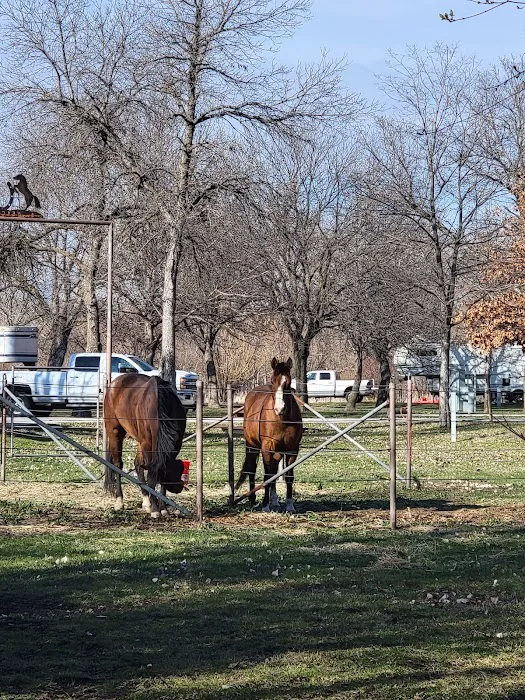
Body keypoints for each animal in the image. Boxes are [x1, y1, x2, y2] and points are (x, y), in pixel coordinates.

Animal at [104, 373, 187, 518]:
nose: (179, 486)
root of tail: (114, 383)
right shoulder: (148, 444)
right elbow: (152, 476)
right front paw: (155, 509)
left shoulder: (174, 444)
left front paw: (162, 508)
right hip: (115, 433)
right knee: (118, 465)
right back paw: (119, 501)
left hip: (139, 440)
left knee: (138, 464)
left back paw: (146, 502)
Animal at [236, 357, 303, 513]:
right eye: (273, 381)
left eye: (288, 382)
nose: (280, 408)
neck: (282, 420)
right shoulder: (267, 447)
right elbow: (267, 475)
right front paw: (265, 505)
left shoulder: (292, 449)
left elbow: (288, 476)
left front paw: (289, 505)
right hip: (252, 446)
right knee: (252, 469)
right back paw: (253, 499)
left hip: (277, 451)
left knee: (273, 469)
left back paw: (275, 501)